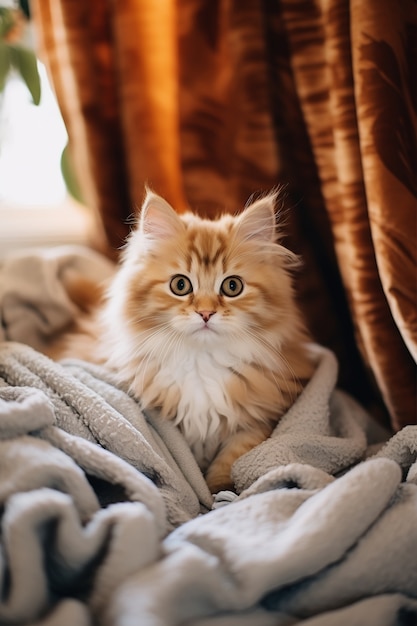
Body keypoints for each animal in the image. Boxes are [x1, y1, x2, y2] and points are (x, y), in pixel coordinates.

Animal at [54, 188, 312, 490]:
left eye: (232, 286)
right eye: (180, 285)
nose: (206, 313)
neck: (201, 362)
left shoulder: (257, 420)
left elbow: (231, 459)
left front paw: (220, 491)